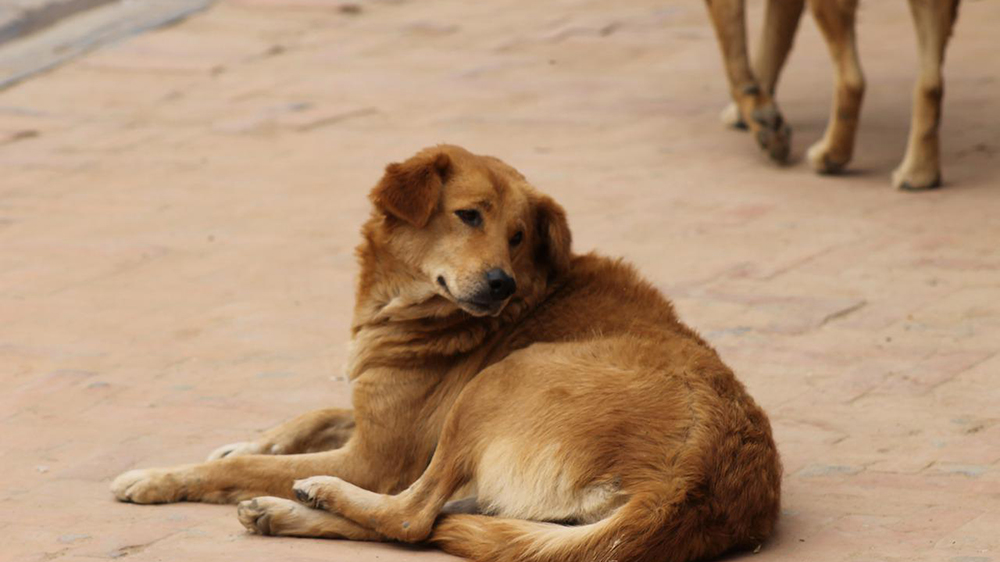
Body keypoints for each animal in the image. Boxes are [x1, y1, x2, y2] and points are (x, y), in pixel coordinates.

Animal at [111, 144, 780, 560]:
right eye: (468, 217)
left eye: (518, 236)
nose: (501, 284)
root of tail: (696, 477)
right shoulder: (381, 413)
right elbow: (316, 413)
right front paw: (248, 440)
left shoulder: (376, 457)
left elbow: (239, 468)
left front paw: (158, 477)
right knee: (434, 520)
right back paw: (283, 512)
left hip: (498, 383)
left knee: (410, 518)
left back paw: (314, 494)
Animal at [704, 0, 960, 190]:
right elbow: (770, 49)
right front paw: (756, 113)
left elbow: (736, 65)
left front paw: (762, 120)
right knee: (931, 83)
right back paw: (919, 174)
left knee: (853, 81)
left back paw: (832, 154)